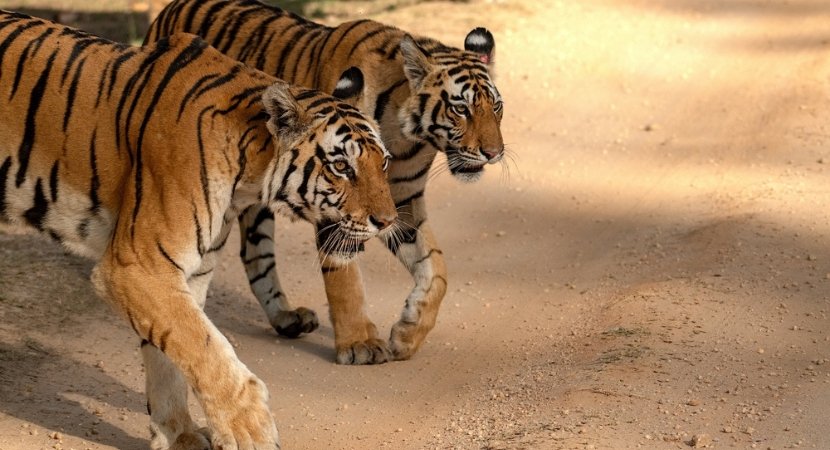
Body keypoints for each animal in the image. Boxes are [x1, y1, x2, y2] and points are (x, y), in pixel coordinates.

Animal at [0, 10, 396, 450]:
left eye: (383, 163)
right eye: (341, 166)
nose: (388, 221)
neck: (249, 173)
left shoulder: (187, 273)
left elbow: (171, 354)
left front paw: (179, 435)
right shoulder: (137, 266)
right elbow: (205, 348)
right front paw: (250, 430)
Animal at [147, 0, 506, 365]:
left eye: (497, 107)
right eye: (460, 108)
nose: (494, 153)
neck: (409, 139)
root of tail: (169, 9)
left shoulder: (400, 201)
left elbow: (435, 267)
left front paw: (408, 333)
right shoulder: (335, 202)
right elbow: (344, 276)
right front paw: (360, 344)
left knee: (254, 253)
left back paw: (287, 318)